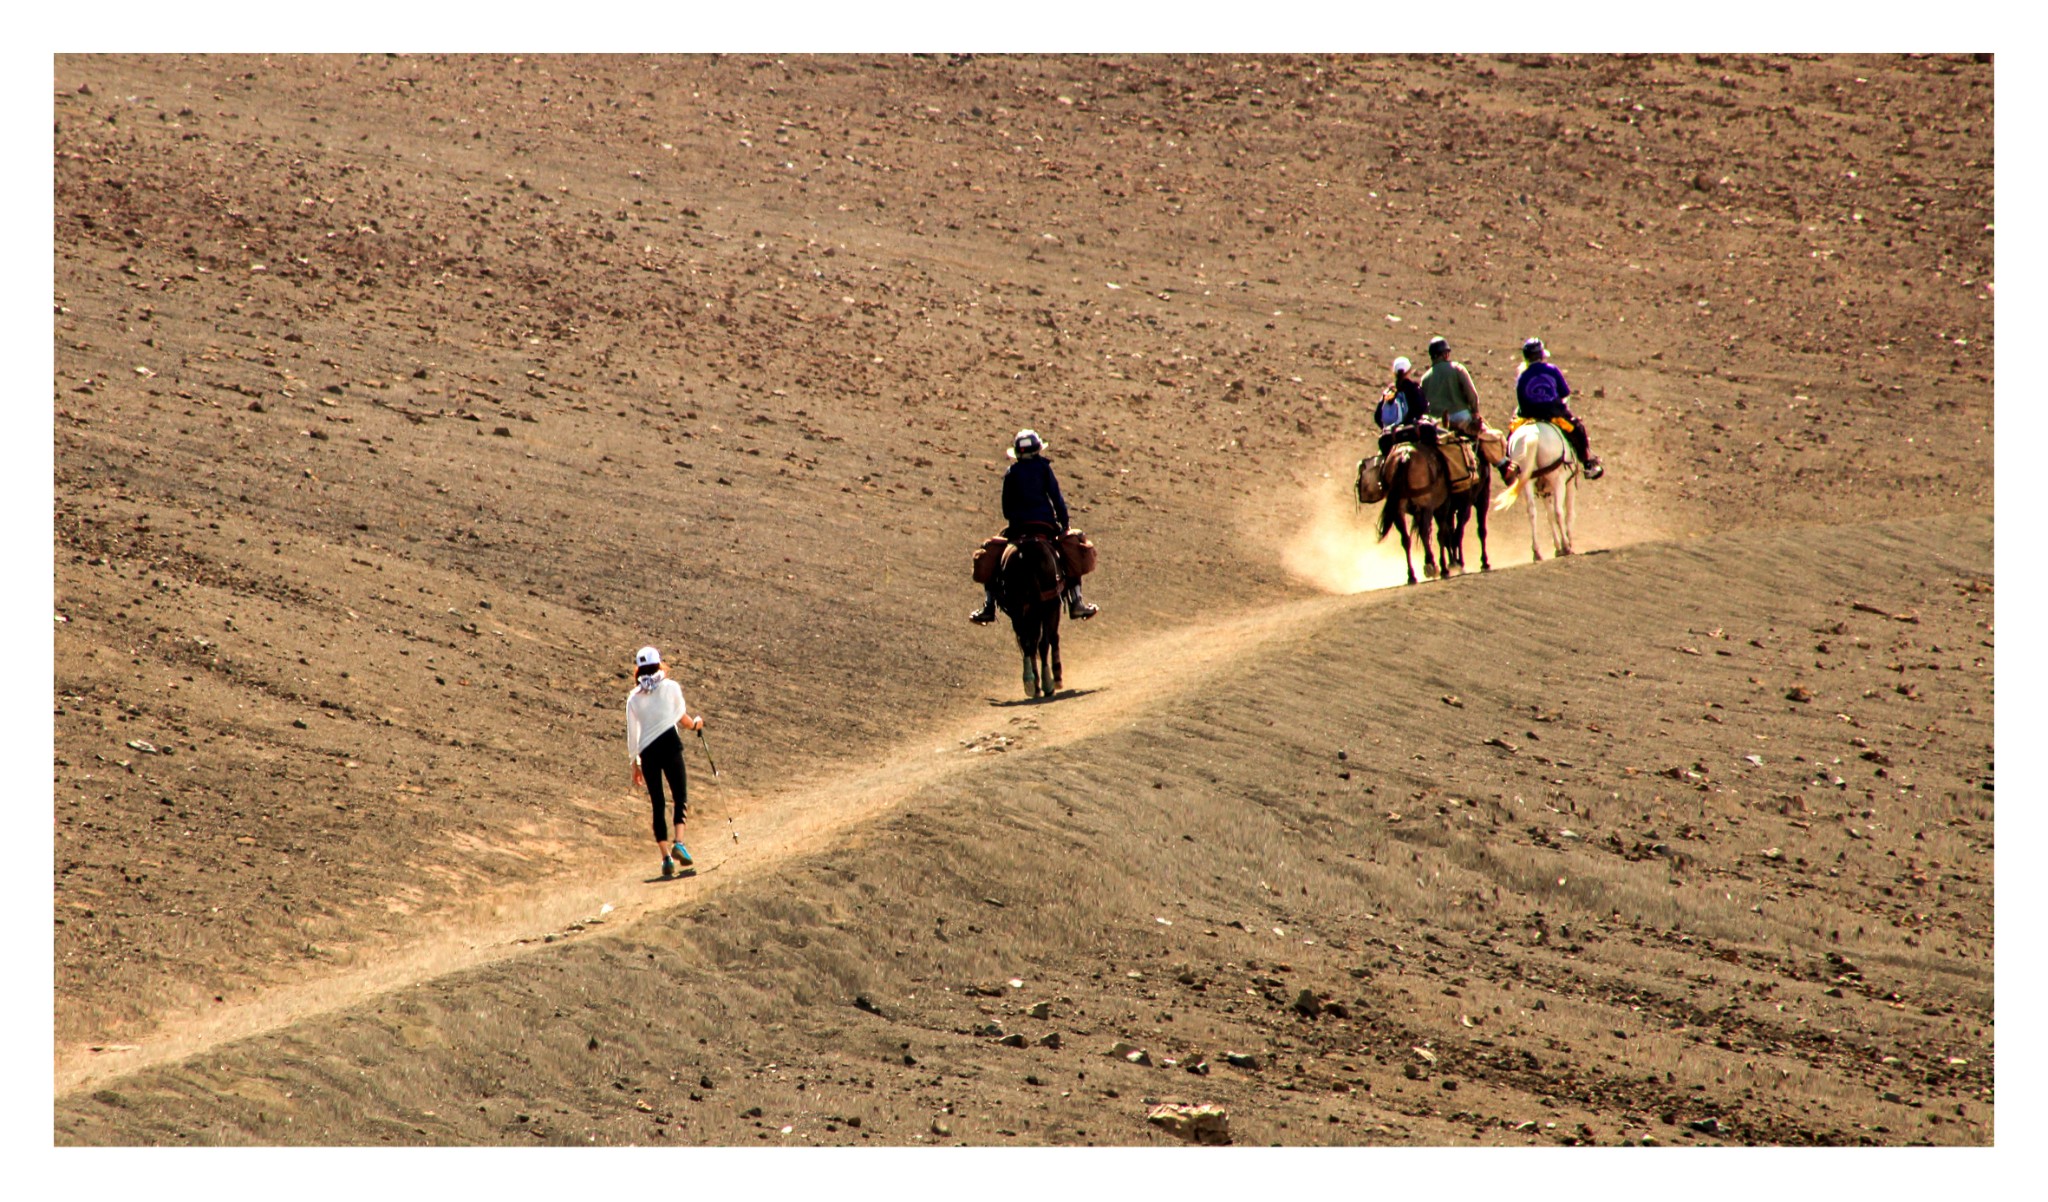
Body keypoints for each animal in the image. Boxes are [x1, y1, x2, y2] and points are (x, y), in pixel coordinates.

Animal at [995, 532, 1064, 700]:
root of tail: (1023, 555)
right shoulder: (1053, 607)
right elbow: (1053, 637)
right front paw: (1057, 677)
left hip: (1018, 609)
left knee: (1028, 643)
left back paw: (1031, 684)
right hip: (1046, 605)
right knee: (1042, 642)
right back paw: (1048, 684)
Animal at [1490, 421, 1581, 561]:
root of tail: (1533, 435)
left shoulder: (1545, 492)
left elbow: (1549, 516)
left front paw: (1557, 547)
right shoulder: (1569, 483)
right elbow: (1568, 514)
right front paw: (1567, 543)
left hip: (1527, 482)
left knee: (1532, 512)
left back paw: (1537, 552)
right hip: (1558, 481)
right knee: (1558, 511)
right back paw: (1566, 546)